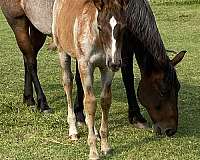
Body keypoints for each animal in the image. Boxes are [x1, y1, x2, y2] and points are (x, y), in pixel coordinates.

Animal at [52, 0, 126, 159]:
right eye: (100, 27)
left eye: (123, 27)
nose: (115, 63)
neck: (98, 41)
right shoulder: (85, 64)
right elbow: (90, 102)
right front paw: (93, 152)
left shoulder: (106, 68)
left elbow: (105, 100)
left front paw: (105, 146)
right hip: (63, 52)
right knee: (68, 83)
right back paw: (73, 130)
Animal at [74, 0, 186, 137]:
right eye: (163, 91)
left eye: (178, 88)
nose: (171, 130)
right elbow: (79, 78)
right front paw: (79, 114)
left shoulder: (126, 47)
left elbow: (128, 77)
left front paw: (136, 117)